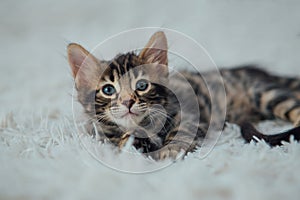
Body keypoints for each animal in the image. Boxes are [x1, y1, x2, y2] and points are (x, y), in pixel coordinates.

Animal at [67, 32, 300, 160]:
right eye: (108, 90)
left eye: (142, 85)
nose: (127, 102)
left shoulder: (189, 110)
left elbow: (182, 132)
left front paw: (170, 150)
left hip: (266, 94)